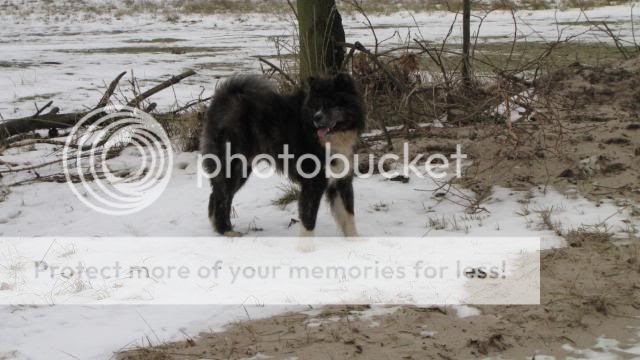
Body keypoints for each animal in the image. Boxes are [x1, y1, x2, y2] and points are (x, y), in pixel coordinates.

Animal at [202, 73, 368, 250]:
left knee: (216, 195)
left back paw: (218, 228)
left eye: (330, 103)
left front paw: (355, 240)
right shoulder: (313, 183)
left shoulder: (341, 181)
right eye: (315, 105)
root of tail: (224, 97)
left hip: (242, 169)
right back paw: (226, 231)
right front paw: (306, 248)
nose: (316, 118)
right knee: (222, 197)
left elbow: (348, 214)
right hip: (233, 166)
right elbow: (309, 218)